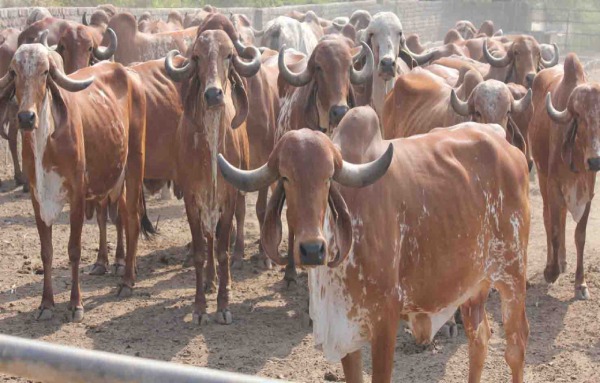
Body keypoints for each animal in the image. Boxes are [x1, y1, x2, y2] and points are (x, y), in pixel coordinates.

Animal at [0, 44, 149, 320]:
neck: (46, 141)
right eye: (14, 73)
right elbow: (46, 252)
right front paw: (46, 304)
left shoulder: (77, 195)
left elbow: (74, 249)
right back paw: (117, 265)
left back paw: (127, 281)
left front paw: (75, 304)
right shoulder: (37, 198)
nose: (26, 117)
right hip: (115, 176)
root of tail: (127, 72)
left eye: (45, 72)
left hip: (135, 162)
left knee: (132, 219)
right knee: (119, 215)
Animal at [163, 24, 258, 324]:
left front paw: (223, 305)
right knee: (208, 239)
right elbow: (200, 251)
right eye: (197, 57)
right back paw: (209, 280)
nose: (214, 94)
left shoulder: (228, 198)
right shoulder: (192, 200)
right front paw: (200, 307)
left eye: (229, 55)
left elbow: (223, 250)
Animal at [217, 106, 528, 383]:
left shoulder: (385, 321)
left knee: (515, 347)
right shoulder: (344, 330)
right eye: (285, 177)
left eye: (328, 178)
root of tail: (504, 143)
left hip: (512, 276)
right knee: (479, 340)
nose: (312, 249)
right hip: (473, 287)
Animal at [528, 54, 600, 300]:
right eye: (579, 117)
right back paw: (554, 262)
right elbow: (555, 229)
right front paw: (551, 271)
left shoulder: (588, 194)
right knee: (548, 217)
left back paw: (563, 260)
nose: (595, 161)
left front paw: (581, 283)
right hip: (541, 176)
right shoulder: (553, 185)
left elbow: (580, 235)